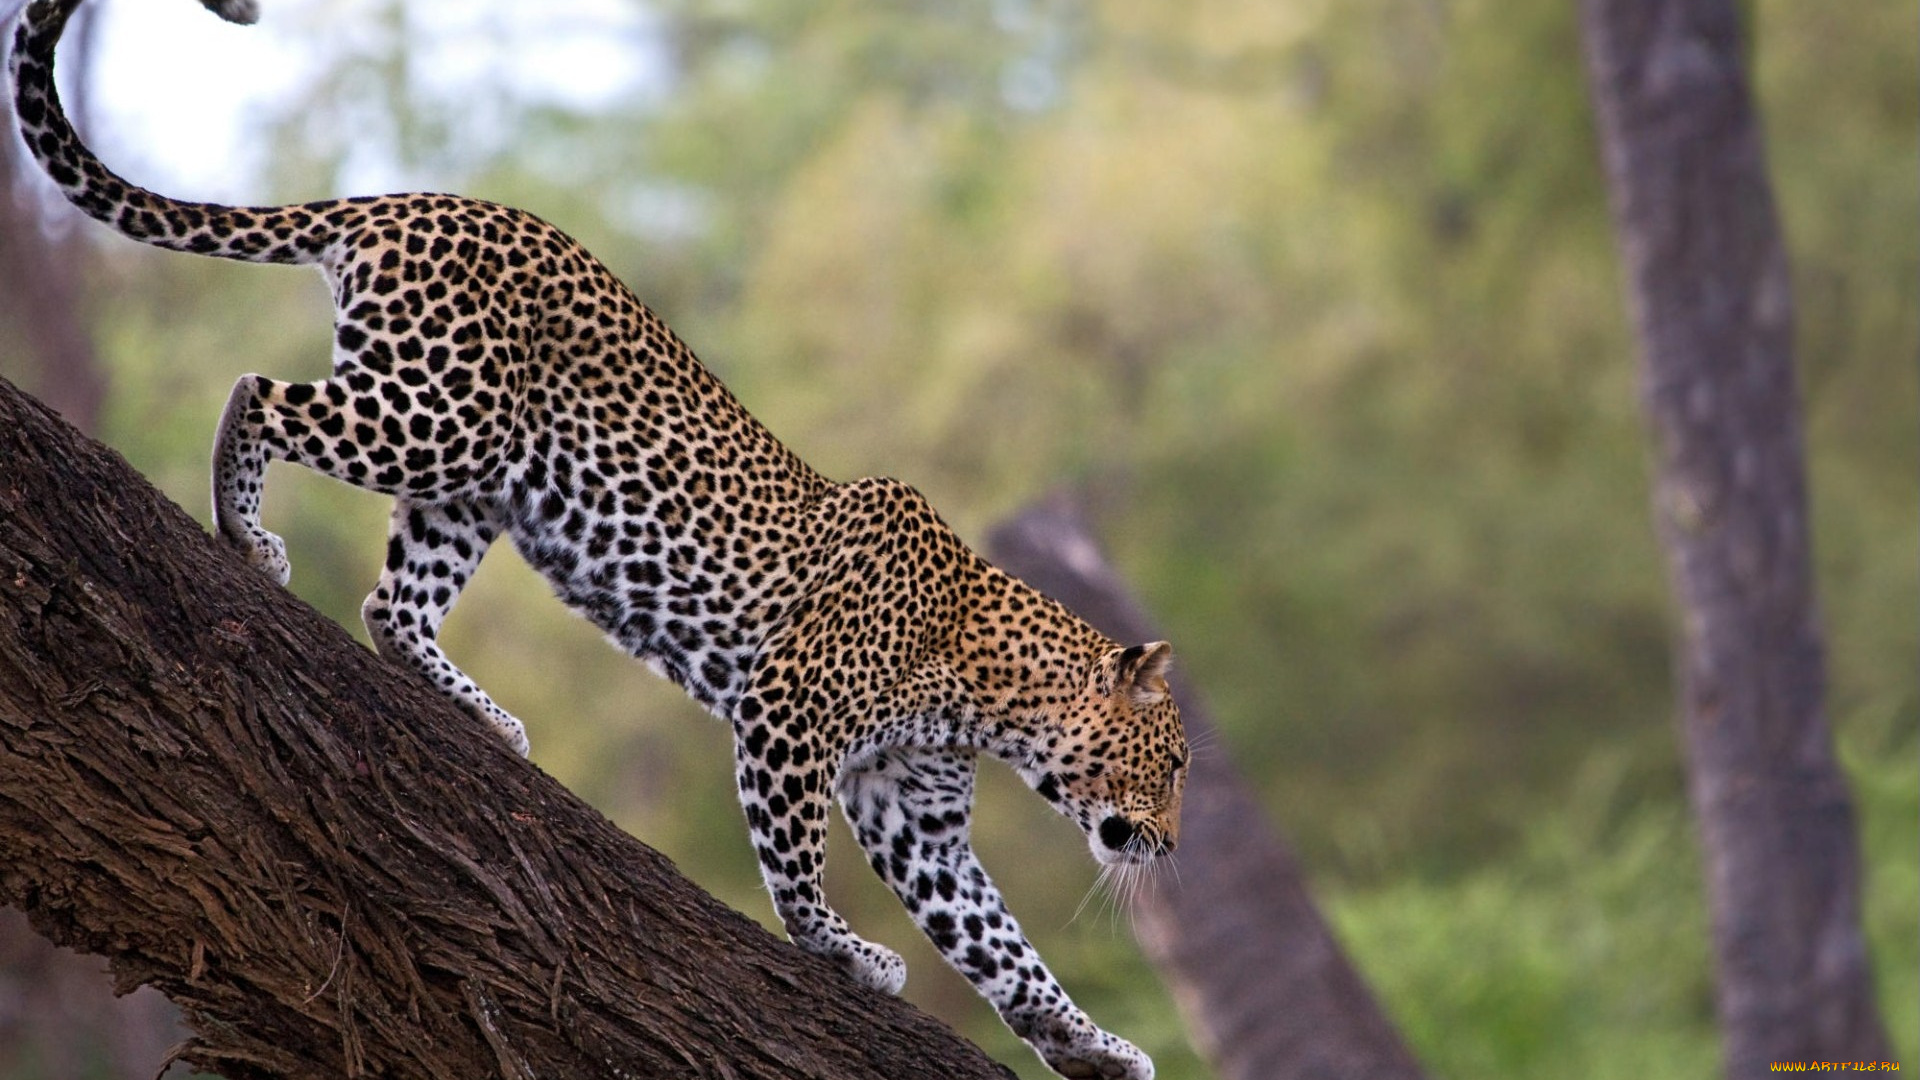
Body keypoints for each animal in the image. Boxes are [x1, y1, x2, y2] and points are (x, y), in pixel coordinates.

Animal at [10, 2, 1190, 1076]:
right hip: (438, 416)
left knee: (393, 604)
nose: (1173, 846)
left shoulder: (918, 819)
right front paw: (843, 952)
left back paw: (479, 713)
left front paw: (1091, 1045)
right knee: (258, 394)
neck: (991, 695)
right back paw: (246, 534)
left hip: (476, 483)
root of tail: (415, 196)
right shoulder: (788, 714)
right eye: (1174, 761)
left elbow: (1005, 949)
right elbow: (798, 862)